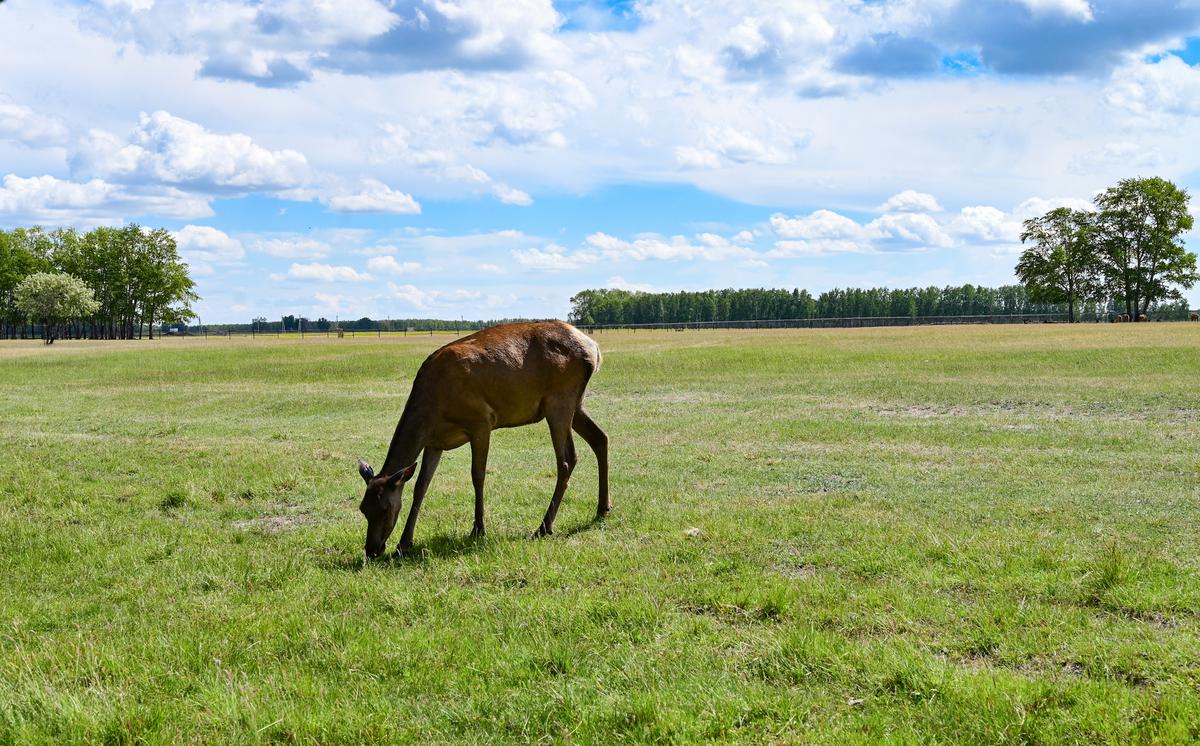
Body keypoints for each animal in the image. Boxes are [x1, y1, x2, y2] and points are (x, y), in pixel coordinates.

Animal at [350, 321, 604, 561]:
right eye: (363, 508)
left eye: (385, 508)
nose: (372, 550)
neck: (434, 407)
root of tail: (594, 349)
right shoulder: (435, 441)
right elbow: (421, 486)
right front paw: (403, 544)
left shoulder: (481, 421)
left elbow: (477, 475)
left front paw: (478, 530)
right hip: (575, 403)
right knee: (600, 438)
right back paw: (602, 509)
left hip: (559, 399)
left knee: (567, 459)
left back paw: (543, 527)